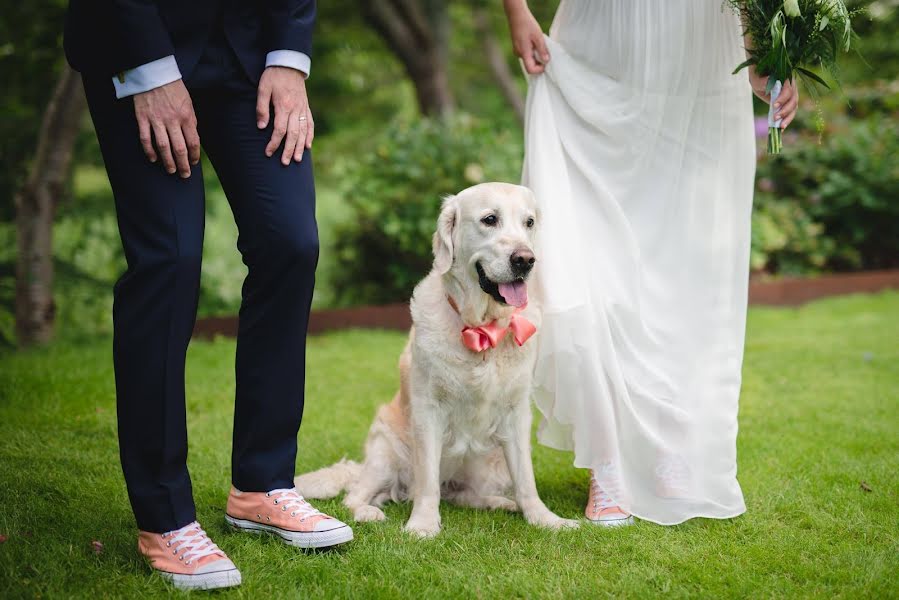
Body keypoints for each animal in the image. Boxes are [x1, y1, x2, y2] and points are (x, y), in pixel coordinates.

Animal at [296, 184, 576, 540]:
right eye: (490, 219)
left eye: (529, 222)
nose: (525, 259)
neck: (483, 329)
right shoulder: (428, 410)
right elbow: (427, 482)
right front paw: (423, 524)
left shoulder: (515, 414)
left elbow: (526, 479)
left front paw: (544, 519)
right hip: (386, 451)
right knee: (358, 494)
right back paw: (368, 512)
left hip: (491, 462)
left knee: (464, 495)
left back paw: (498, 502)